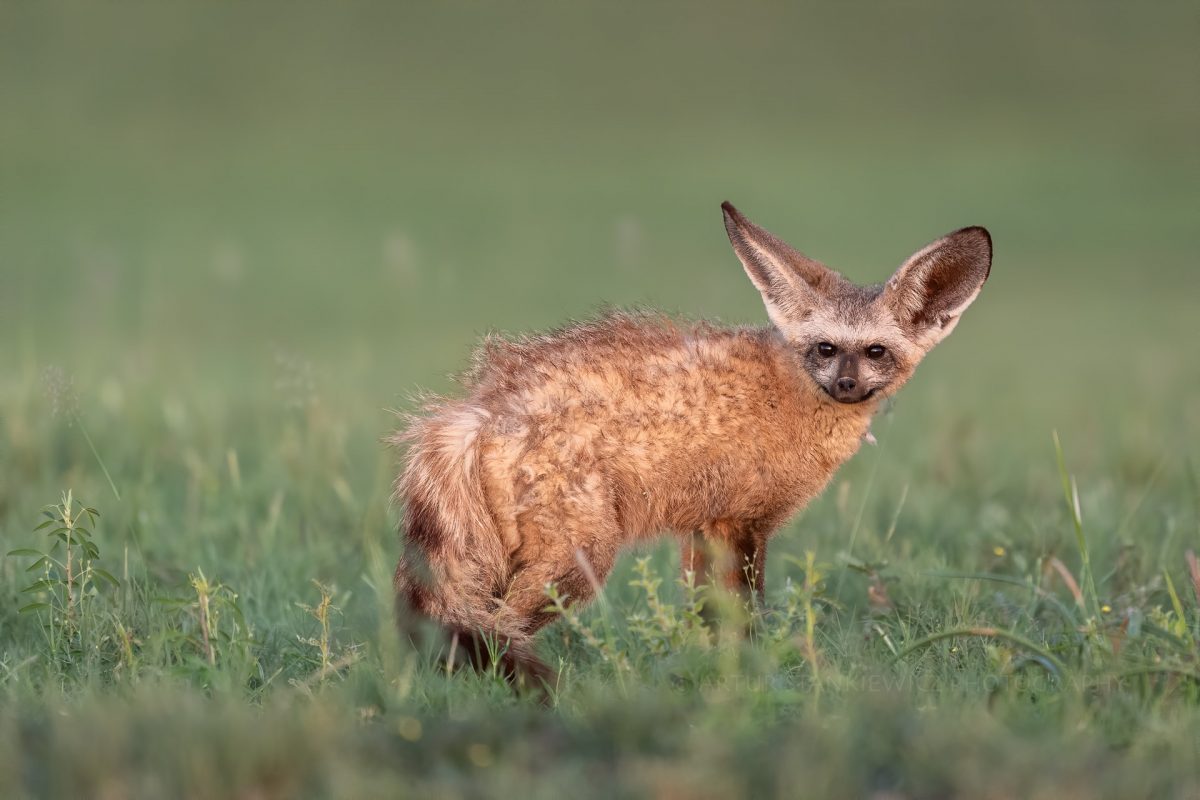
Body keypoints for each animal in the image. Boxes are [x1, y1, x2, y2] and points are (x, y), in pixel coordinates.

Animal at [393, 203, 993, 690]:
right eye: (826, 349)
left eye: (875, 352)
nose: (846, 386)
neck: (789, 395)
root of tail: (480, 408)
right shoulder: (743, 524)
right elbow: (746, 622)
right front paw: (755, 682)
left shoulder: (705, 527)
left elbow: (708, 624)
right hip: (578, 561)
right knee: (498, 631)